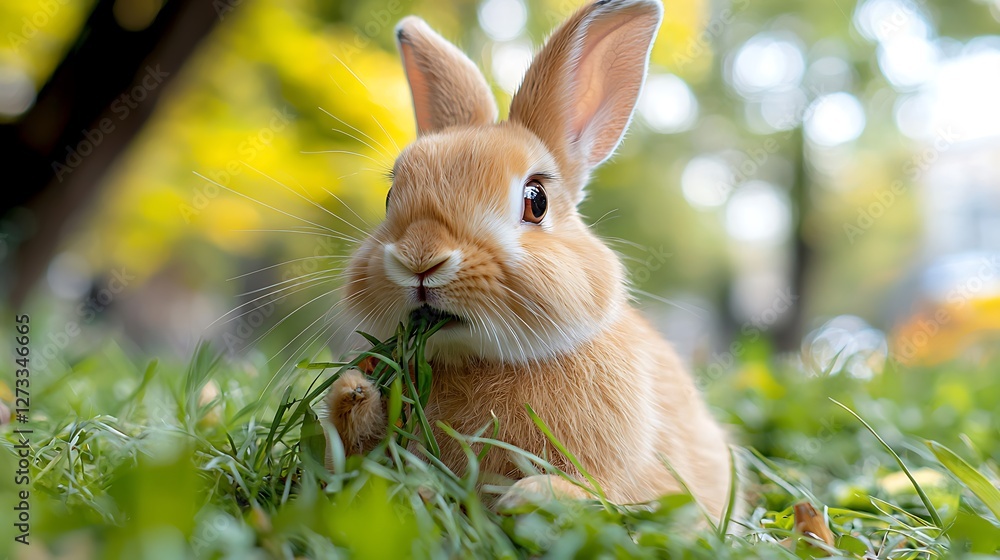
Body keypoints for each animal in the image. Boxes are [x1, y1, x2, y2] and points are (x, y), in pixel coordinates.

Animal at [323, 0, 734, 519]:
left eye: (536, 201)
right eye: (390, 197)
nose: (421, 259)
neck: (478, 361)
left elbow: (606, 495)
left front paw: (534, 494)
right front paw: (352, 392)